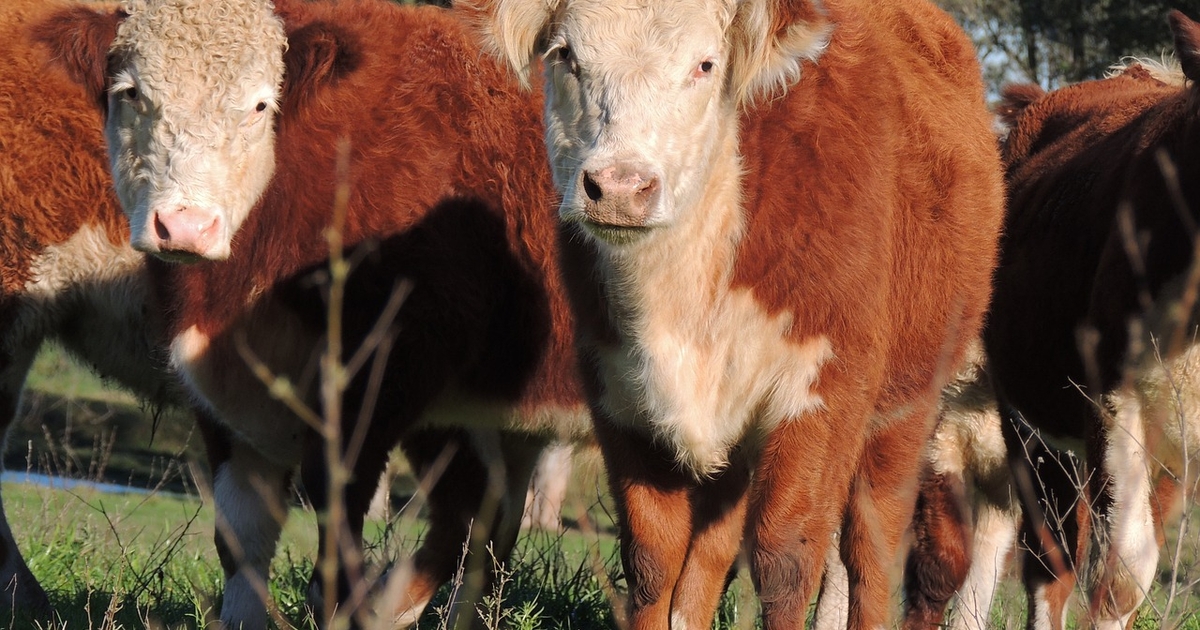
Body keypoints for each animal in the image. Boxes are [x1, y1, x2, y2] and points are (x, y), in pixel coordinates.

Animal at [30, 0, 588, 624]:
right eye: (130, 93)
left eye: (259, 105)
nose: (185, 226)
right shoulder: (219, 397)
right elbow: (243, 532)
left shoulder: (384, 378)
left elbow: (337, 524)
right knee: (483, 520)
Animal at [477, 1, 1003, 628]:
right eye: (565, 56)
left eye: (706, 64)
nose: (621, 187)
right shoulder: (619, 393)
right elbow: (653, 559)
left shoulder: (821, 395)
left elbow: (785, 562)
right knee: (711, 552)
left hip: (906, 408)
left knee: (872, 547)